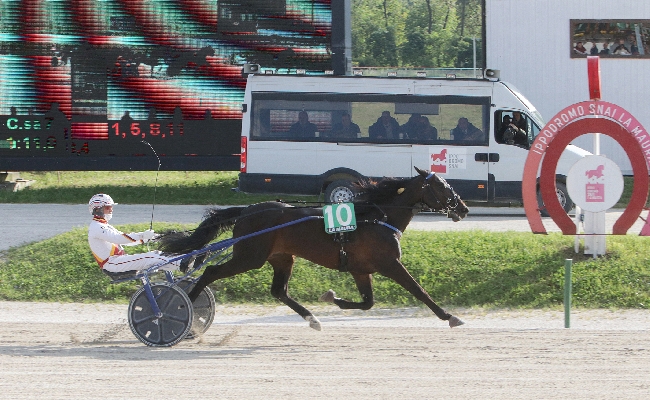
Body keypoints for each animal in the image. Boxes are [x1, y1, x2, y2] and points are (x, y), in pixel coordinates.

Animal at [159, 167, 468, 330]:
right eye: (442, 186)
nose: (463, 208)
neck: (378, 217)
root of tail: (247, 211)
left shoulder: (360, 269)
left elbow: (368, 302)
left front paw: (332, 297)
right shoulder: (389, 263)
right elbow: (419, 290)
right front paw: (450, 316)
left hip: (282, 257)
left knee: (279, 291)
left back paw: (312, 319)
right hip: (249, 256)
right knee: (210, 271)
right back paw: (185, 309)